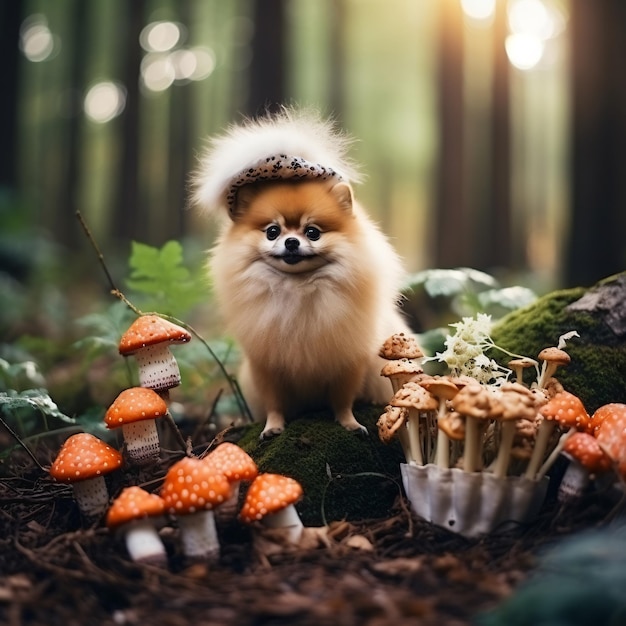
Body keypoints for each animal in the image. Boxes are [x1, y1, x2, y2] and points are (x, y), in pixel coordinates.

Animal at [193, 108, 412, 438]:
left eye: (313, 232)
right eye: (272, 232)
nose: (292, 242)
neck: (297, 289)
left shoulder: (347, 361)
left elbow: (343, 400)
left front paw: (350, 423)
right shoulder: (267, 366)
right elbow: (274, 403)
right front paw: (273, 427)